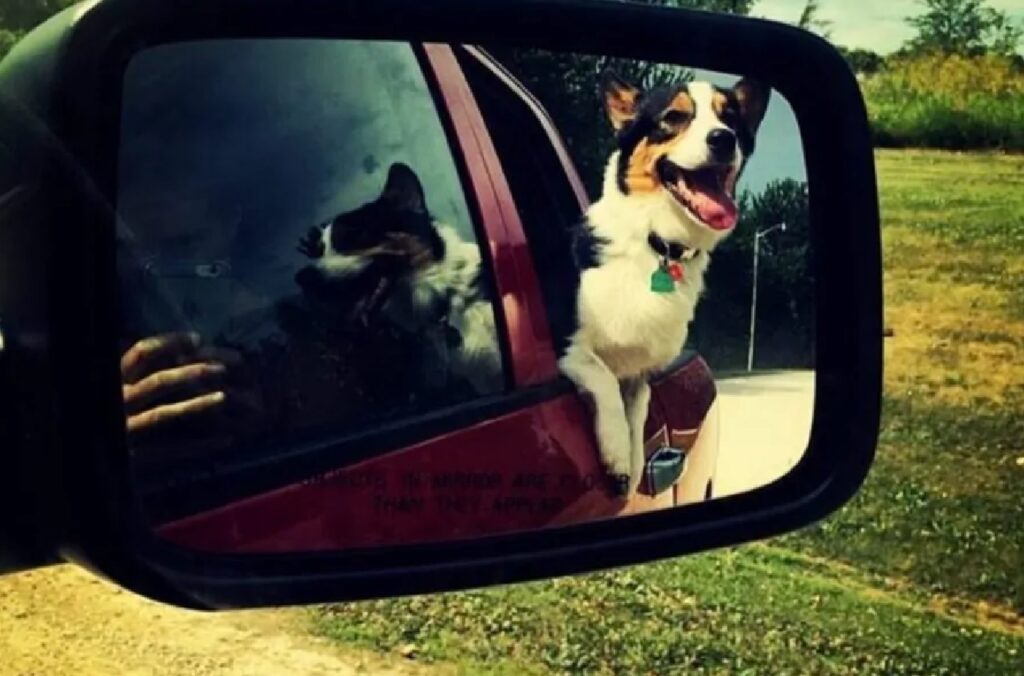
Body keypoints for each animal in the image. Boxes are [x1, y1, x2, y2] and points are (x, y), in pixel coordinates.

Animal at [557, 72, 770, 495]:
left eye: (731, 119)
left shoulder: (640, 373)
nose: (724, 138)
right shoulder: (572, 349)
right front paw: (618, 457)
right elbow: (604, 381)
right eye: (673, 117)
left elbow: (639, 413)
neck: (656, 243)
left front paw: (636, 465)